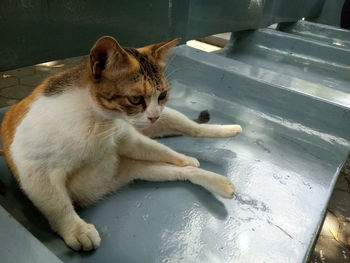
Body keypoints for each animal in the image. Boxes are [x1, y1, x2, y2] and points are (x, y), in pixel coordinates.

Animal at [0, 35, 242, 252]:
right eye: (136, 99)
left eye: (162, 95)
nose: (154, 116)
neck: (97, 121)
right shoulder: (37, 172)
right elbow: (58, 204)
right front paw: (76, 230)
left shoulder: (127, 138)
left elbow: (160, 149)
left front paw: (185, 158)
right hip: (143, 168)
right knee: (180, 171)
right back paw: (218, 180)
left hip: (167, 120)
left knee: (192, 129)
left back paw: (229, 133)